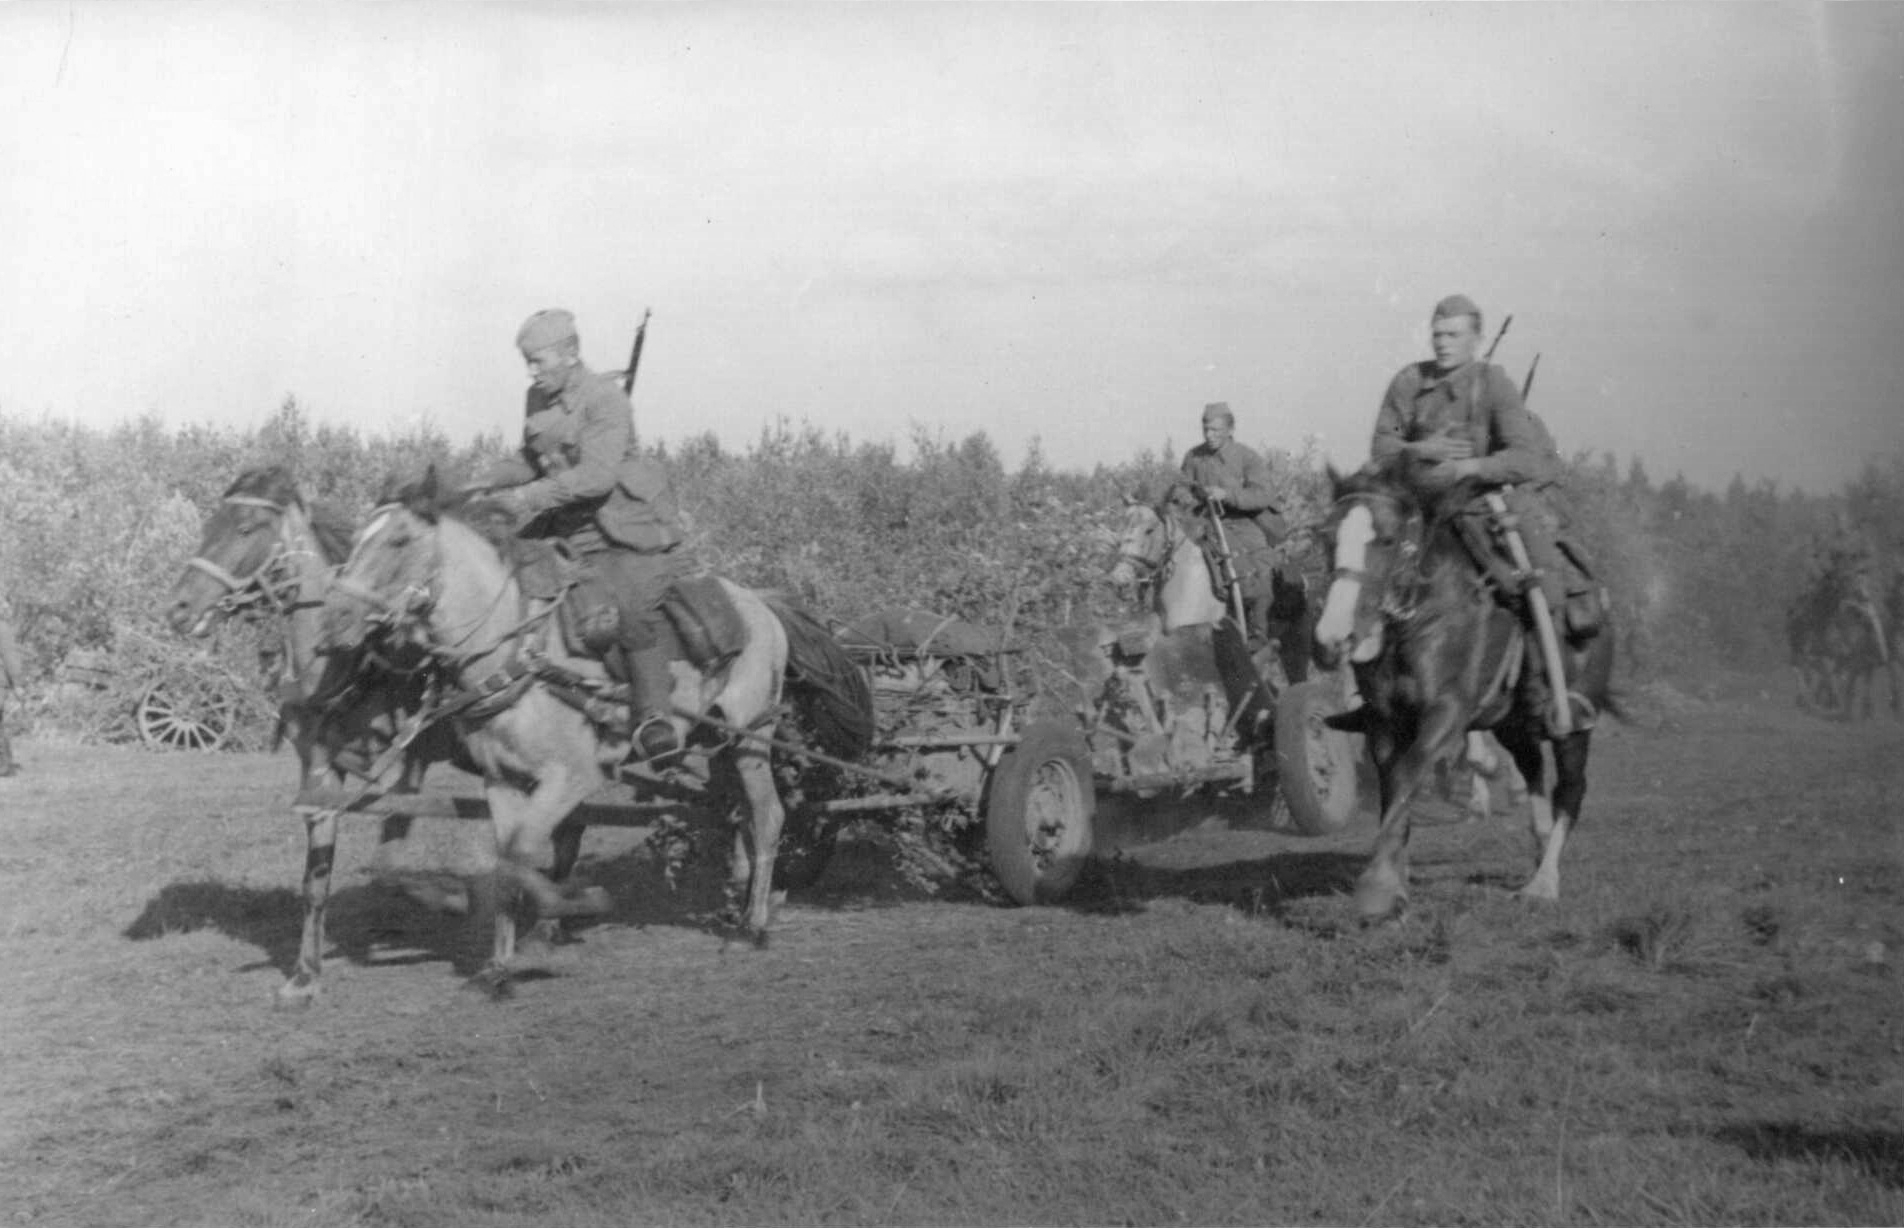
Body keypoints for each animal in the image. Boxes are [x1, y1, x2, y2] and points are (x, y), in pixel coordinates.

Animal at [319, 464, 872, 990]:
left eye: (399, 540)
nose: (334, 622)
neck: (516, 649)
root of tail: (763, 603)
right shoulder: (501, 781)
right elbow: (507, 859)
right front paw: (499, 965)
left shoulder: (573, 777)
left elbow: (523, 853)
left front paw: (565, 909)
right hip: (715, 742)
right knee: (736, 816)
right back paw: (736, 904)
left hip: (750, 736)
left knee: (768, 815)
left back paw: (754, 926)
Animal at [1317, 460, 1614, 921]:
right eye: (1327, 537)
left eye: (1386, 539)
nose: (1334, 639)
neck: (1424, 618)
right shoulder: (1384, 722)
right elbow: (1392, 786)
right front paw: (1394, 881)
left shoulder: (1447, 713)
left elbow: (1409, 773)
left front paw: (1378, 887)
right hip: (1514, 725)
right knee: (1533, 771)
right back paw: (1538, 849)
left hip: (1574, 724)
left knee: (1570, 789)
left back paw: (1544, 882)